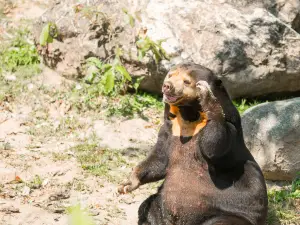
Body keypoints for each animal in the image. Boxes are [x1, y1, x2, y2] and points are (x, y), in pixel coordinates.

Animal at [118, 62, 268, 225]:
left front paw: (208, 97)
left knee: (222, 222)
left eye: (186, 81)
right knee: (147, 208)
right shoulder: (169, 130)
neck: (188, 116)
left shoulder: (231, 128)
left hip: (230, 212)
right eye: (170, 75)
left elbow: (215, 145)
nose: (167, 86)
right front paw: (127, 184)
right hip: (161, 204)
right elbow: (159, 160)